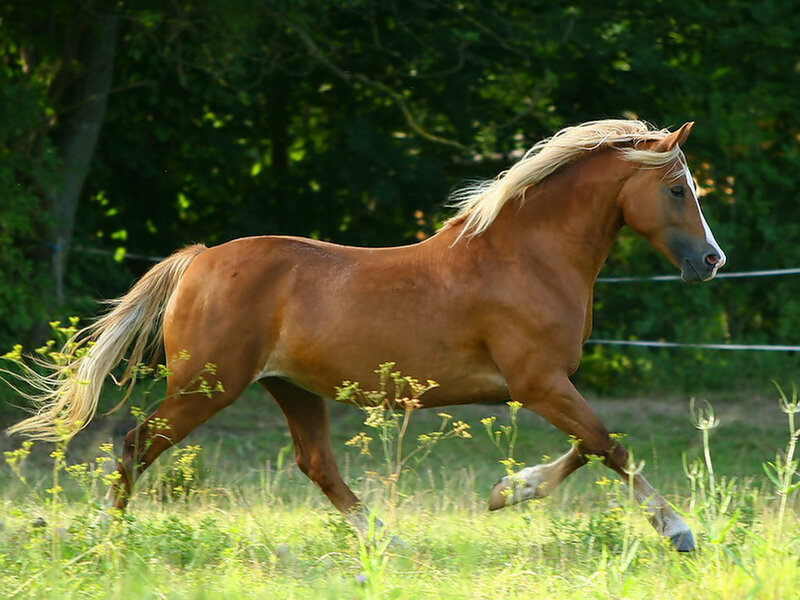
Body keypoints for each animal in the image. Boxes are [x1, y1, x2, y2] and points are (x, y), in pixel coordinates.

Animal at [8, 119, 725, 552]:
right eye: (675, 188)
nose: (712, 260)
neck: (527, 255)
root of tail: (198, 260)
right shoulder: (539, 382)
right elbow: (608, 445)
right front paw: (679, 531)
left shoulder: (541, 385)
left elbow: (592, 446)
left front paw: (506, 492)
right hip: (207, 387)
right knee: (135, 444)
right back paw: (105, 539)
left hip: (290, 388)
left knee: (317, 465)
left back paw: (390, 541)